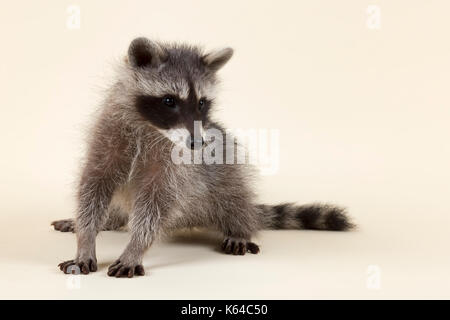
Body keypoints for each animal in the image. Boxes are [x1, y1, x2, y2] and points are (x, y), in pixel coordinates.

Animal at [52, 37, 354, 278]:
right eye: (169, 101)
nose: (198, 143)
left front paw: (135, 247)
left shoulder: (176, 166)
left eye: (201, 103)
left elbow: (155, 205)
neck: (151, 128)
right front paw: (86, 238)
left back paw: (240, 228)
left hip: (228, 173)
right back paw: (110, 220)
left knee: (234, 199)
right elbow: (93, 188)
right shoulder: (108, 135)